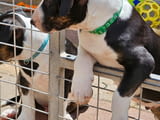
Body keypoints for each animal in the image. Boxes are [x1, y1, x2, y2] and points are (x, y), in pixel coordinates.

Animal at [31, 0, 160, 119]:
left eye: (49, 3)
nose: (32, 21)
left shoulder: (143, 61)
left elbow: (119, 95)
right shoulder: (86, 48)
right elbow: (80, 61)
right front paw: (80, 90)